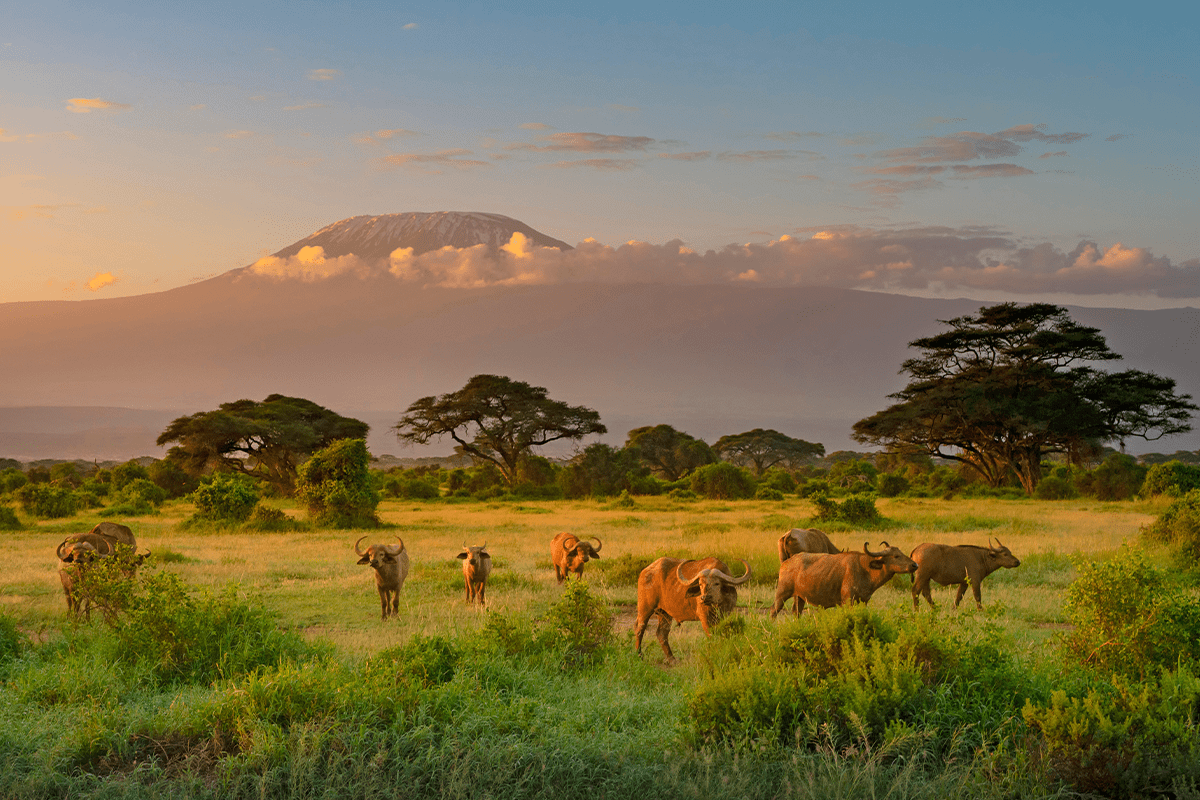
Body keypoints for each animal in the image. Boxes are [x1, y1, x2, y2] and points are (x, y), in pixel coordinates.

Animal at [768, 544, 916, 618]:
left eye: (901, 553)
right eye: (896, 556)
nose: (915, 565)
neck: (865, 569)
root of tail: (786, 563)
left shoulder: (864, 601)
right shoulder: (848, 600)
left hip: (799, 597)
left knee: (796, 612)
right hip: (782, 593)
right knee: (773, 610)